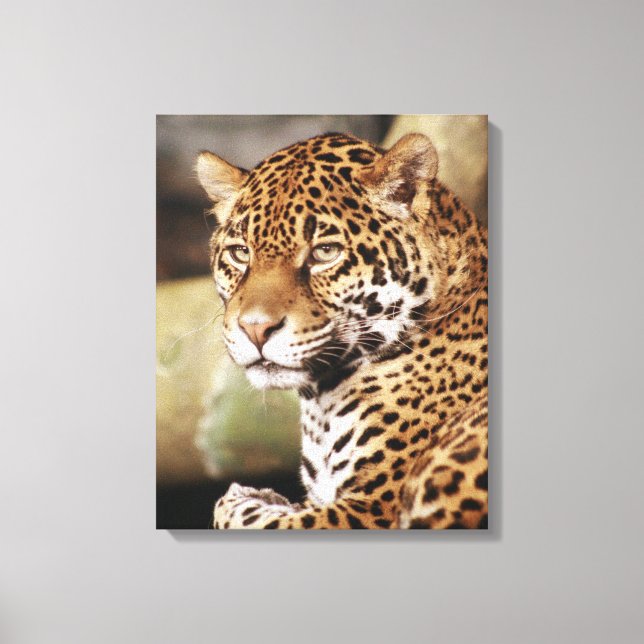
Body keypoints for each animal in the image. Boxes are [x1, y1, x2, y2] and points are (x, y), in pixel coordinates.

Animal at [195, 131, 488, 529]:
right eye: (240, 253)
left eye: (325, 252)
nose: (255, 329)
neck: (320, 401)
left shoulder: (371, 508)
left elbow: (241, 512)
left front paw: (251, 496)